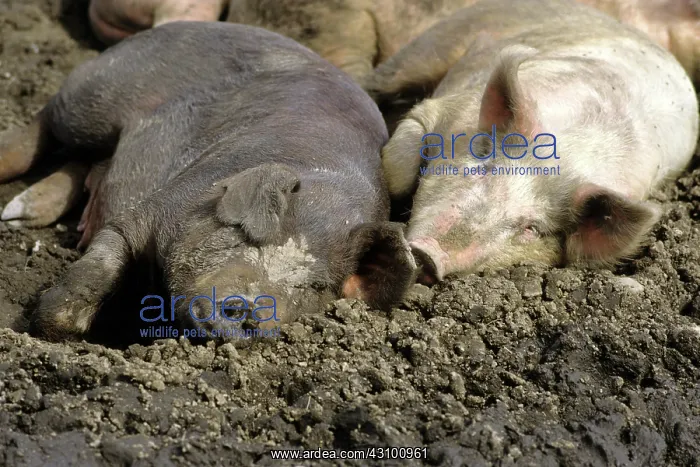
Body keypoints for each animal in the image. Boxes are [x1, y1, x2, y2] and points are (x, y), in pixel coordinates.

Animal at [0, 22, 416, 341]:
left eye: (316, 286)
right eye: (247, 238)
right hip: (94, 98)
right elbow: (99, 262)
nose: (252, 310)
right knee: (46, 124)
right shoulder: (158, 208)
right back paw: (11, 205)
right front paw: (41, 327)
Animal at [366, 0, 699, 284]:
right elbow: (398, 172)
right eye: (483, 168)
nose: (427, 255)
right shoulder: (439, 109)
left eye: (531, 228)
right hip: (436, 43)